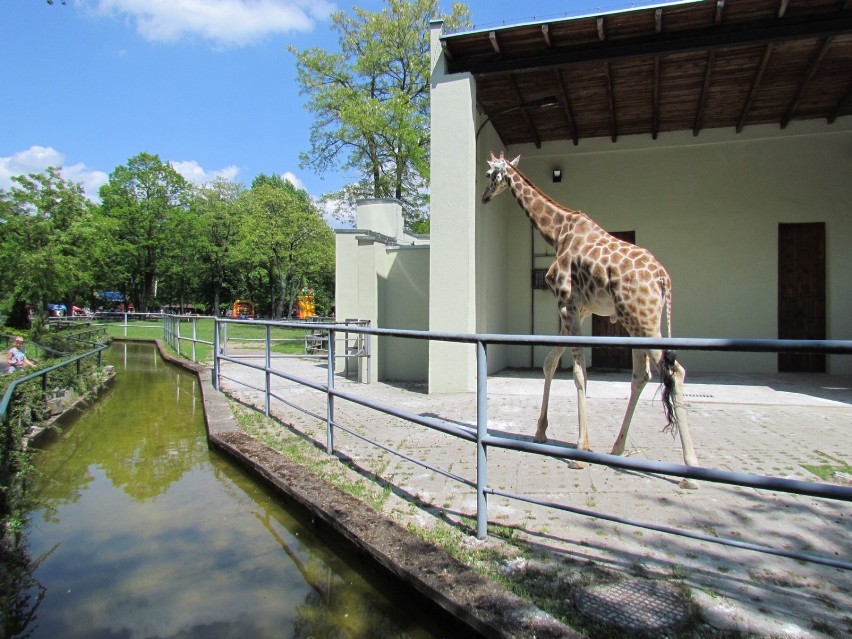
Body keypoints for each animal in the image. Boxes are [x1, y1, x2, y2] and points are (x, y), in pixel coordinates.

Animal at [482, 154, 696, 484]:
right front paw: (540, 432)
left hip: (643, 321)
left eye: (489, 174)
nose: (484, 197)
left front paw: (580, 450)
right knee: (642, 375)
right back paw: (617, 449)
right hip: (637, 322)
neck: (558, 233)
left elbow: (578, 374)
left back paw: (689, 468)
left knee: (674, 372)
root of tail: (664, 279)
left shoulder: (567, 305)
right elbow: (550, 363)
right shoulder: (575, 310)